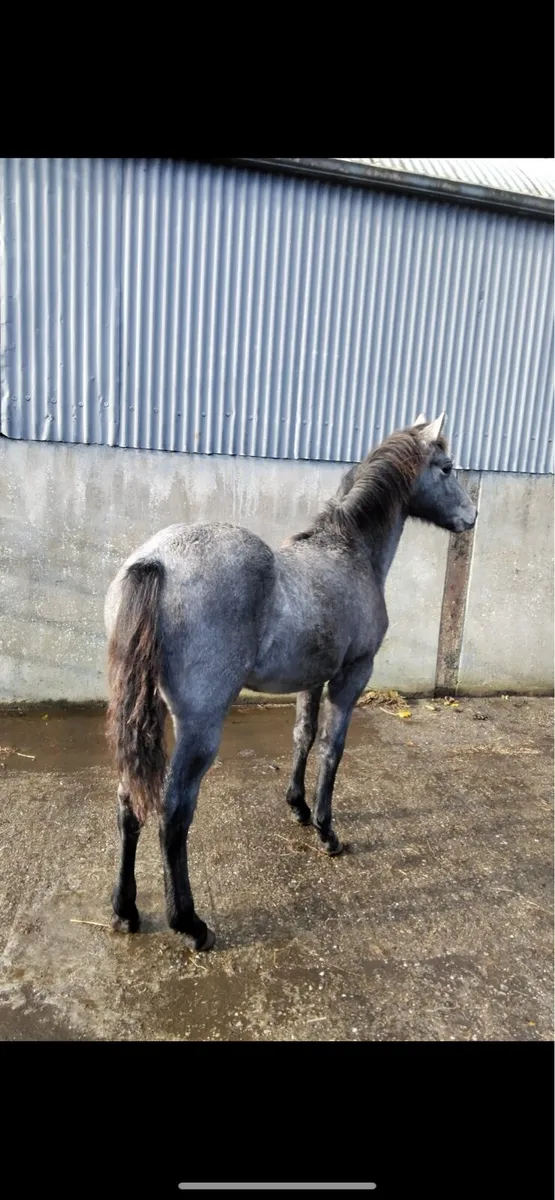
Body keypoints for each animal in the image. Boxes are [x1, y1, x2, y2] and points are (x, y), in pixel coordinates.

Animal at [104, 412, 477, 951]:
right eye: (446, 468)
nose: (471, 517)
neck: (348, 552)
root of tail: (154, 561)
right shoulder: (352, 675)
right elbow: (332, 747)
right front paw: (325, 831)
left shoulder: (312, 678)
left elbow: (302, 735)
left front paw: (297, 807)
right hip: (199, 726)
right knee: (173, 814)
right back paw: (190, 923)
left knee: (129, 801)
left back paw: (125, 910)